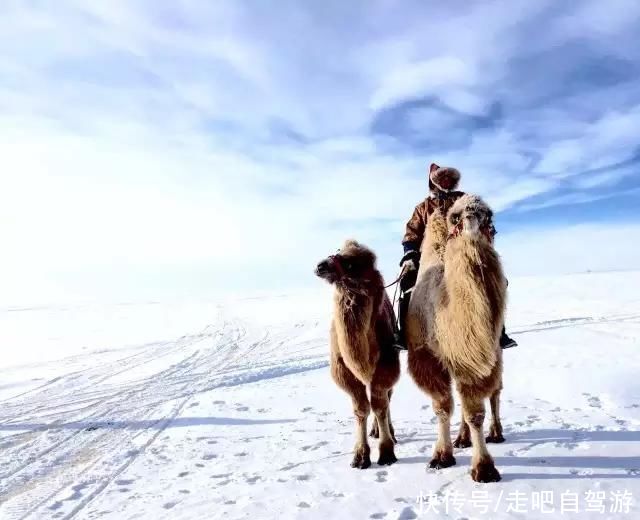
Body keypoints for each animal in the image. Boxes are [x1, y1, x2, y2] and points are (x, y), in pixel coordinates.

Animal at [316, 242, 400, 470]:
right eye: (338, 251)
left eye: (351, 264)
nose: (320, 265)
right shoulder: (344, 371)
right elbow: (361, 409)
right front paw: (360, 456)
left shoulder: (387, 365)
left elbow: (380, 406)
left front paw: (387, 452)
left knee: (387, 398)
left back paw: (387, 432)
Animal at [408, 195, 508, 484]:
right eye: (456, 216)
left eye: (489, 213)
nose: (472, 214)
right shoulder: (426, 357)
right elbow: (443, 408)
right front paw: (442, 456)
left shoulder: (480, 357)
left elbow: (475, 413)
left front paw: (484, 468)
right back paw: (461, 439)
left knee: (495, 393)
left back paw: (495, 433)